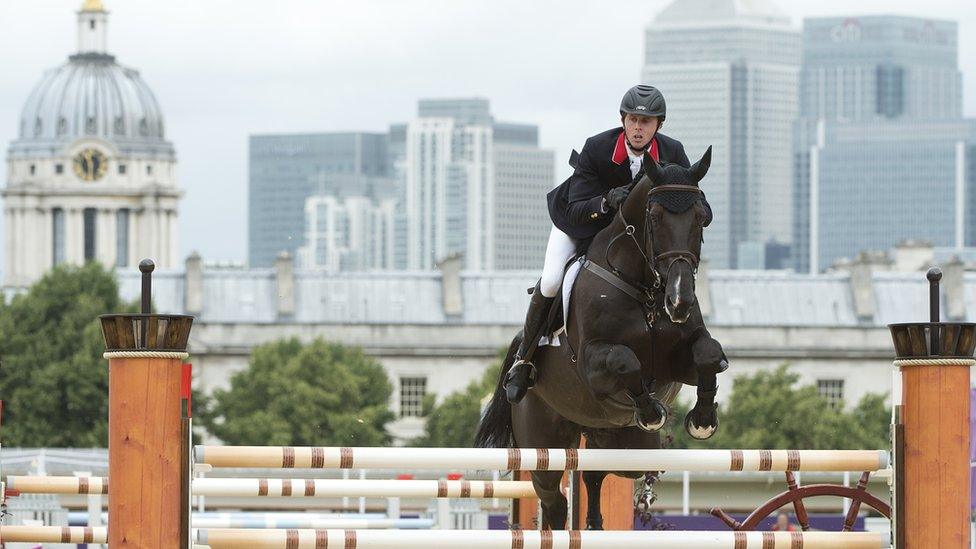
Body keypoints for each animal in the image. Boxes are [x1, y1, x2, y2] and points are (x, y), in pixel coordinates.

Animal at [476, 148, 728, 528]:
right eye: (655, 217)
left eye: (701, 217)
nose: (679, 300)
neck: (645, 290)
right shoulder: (593, 367)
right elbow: (626, 361)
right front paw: (651, 411)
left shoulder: (676, 364)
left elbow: (709, 354)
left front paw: (702, 420)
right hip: (544, 447)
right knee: (554, 501)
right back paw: (520, 377)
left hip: (620, 445)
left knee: (594, 475)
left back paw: (595, 524)